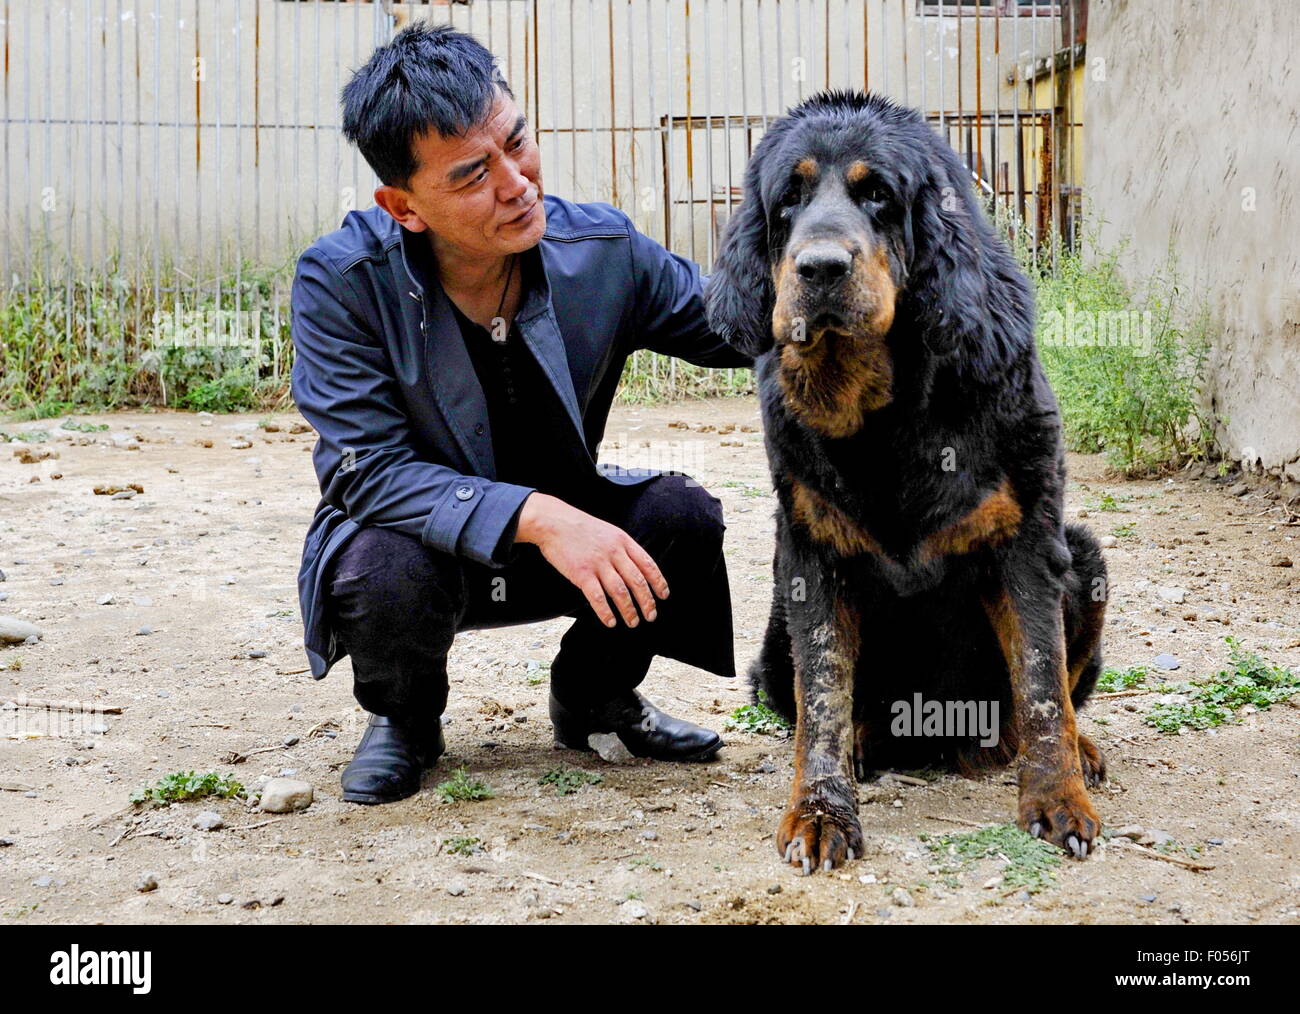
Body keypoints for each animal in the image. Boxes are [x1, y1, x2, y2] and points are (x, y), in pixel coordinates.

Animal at [707, 91, 1112, 873]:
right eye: (788, 200)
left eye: (878, 197)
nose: (819, 267)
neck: (884, 412)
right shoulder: (809, 555)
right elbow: (823, 696)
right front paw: (820, 811)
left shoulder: (1031, 542)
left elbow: (1043, 682)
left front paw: (1057, 798)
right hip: (772, 625)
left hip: (1086, 557)